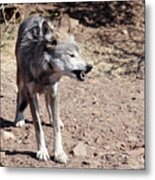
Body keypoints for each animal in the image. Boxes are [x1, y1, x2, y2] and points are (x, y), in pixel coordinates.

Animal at [14, 14, 92, 164]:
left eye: (79, 53)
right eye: (71, 55)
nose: (90, 67)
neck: (45, 72)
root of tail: (35, 15)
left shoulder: (54, 91)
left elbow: (56, 128)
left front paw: (59, 153)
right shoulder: (32, 95)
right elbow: (38, 127)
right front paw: (42, 151)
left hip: (52, 91)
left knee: (48, 105)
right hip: (20, 80)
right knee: (19, 97)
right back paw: (19, 118)